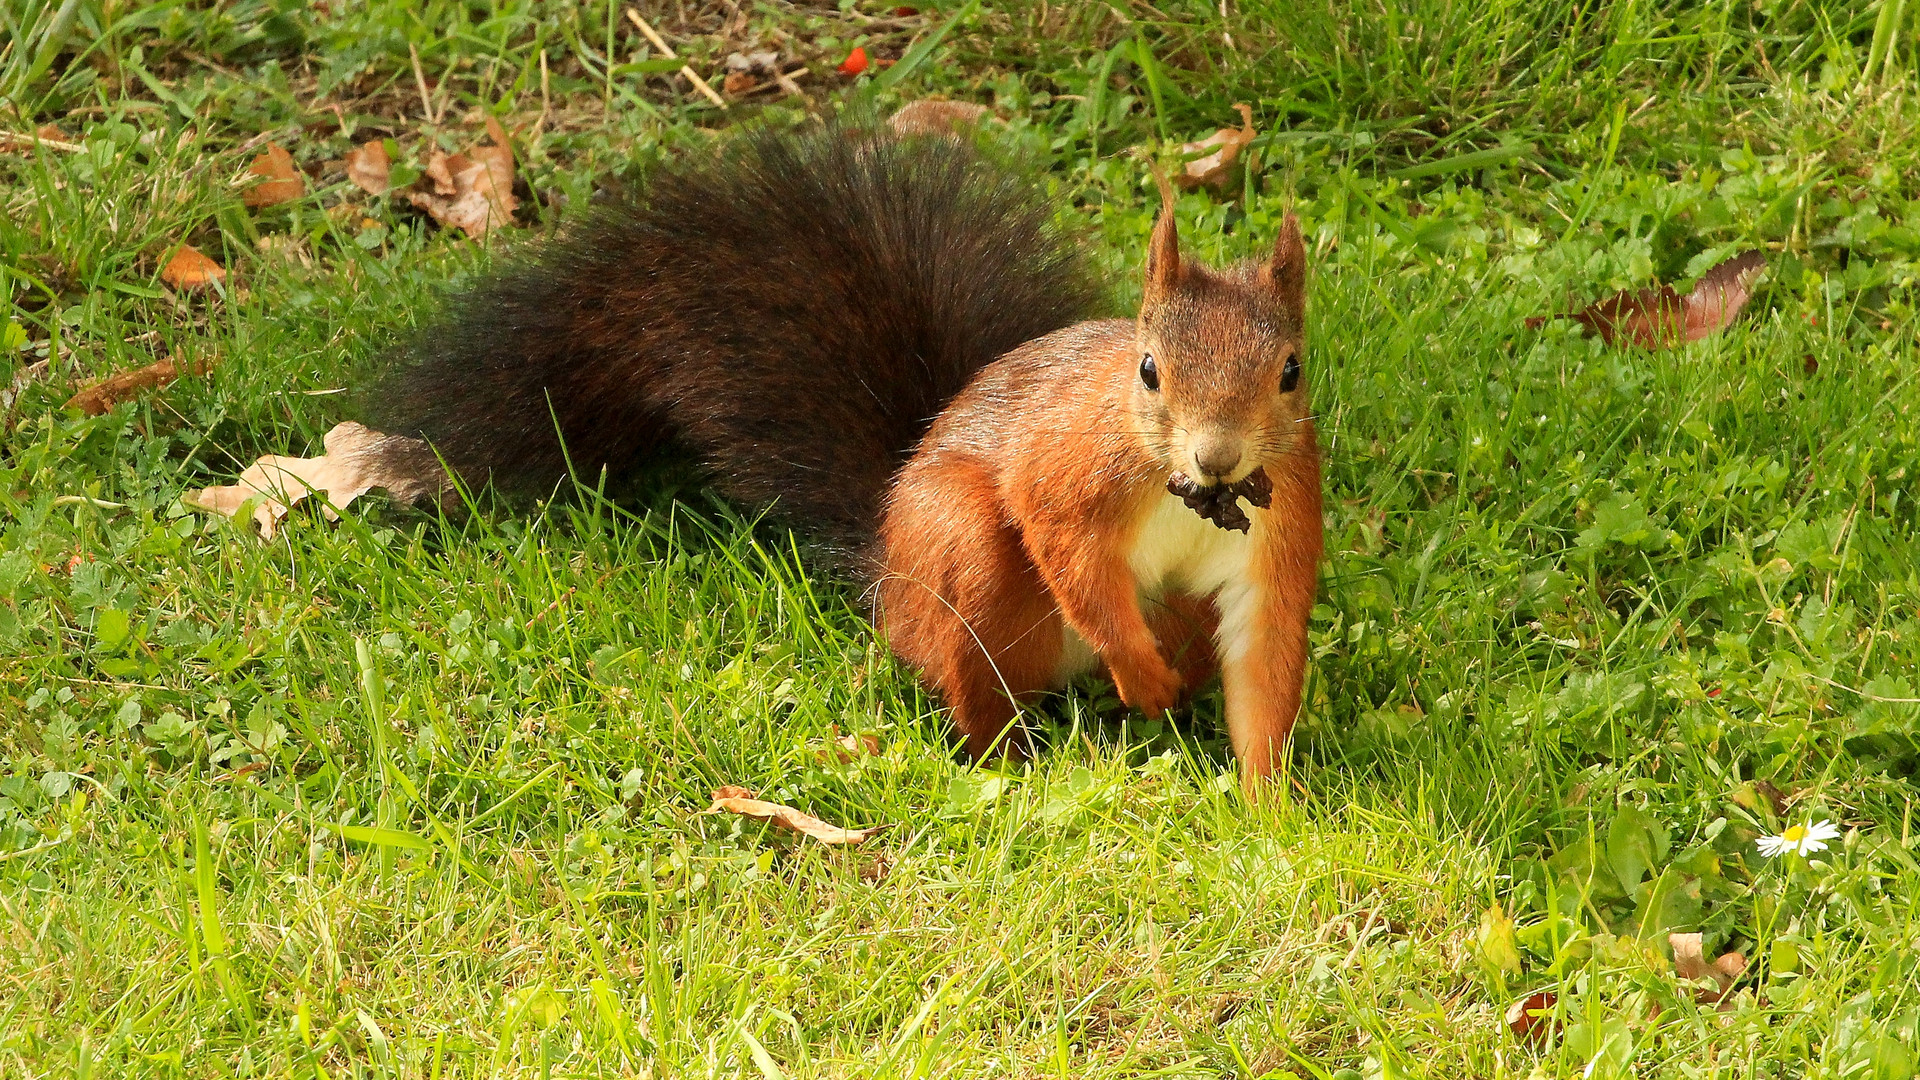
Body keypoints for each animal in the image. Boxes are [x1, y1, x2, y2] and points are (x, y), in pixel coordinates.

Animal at [360, 117, 1320, 791]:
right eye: (1148, 369)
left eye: (1291, 371)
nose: (1217, 459)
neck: (1187, 491)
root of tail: (884, 579)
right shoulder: (1069, 469)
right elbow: (1069, 549)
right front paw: (1138, 671)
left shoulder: (1282, 524)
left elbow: (1265, 656)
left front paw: (1268, 805)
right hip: (957, 549)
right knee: (973, 686)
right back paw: (1015, 760)